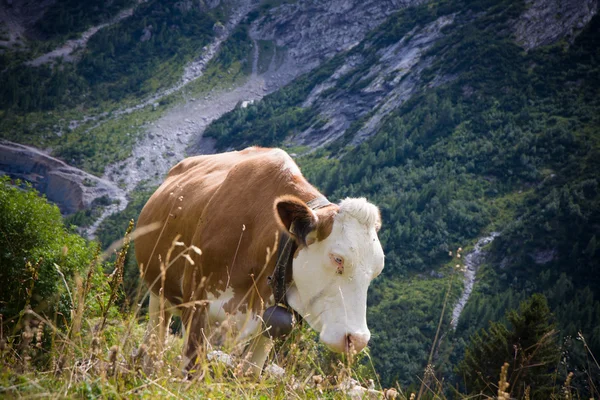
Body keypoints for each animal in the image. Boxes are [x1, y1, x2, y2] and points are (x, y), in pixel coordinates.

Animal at [135, 146, 384, 372]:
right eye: (337, 259)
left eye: (376, 270)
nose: (357, 340)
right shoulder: (197, 305)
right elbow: (190, 369)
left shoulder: (267, 328)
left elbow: (251, 373)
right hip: (158, 290)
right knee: (154, 339)